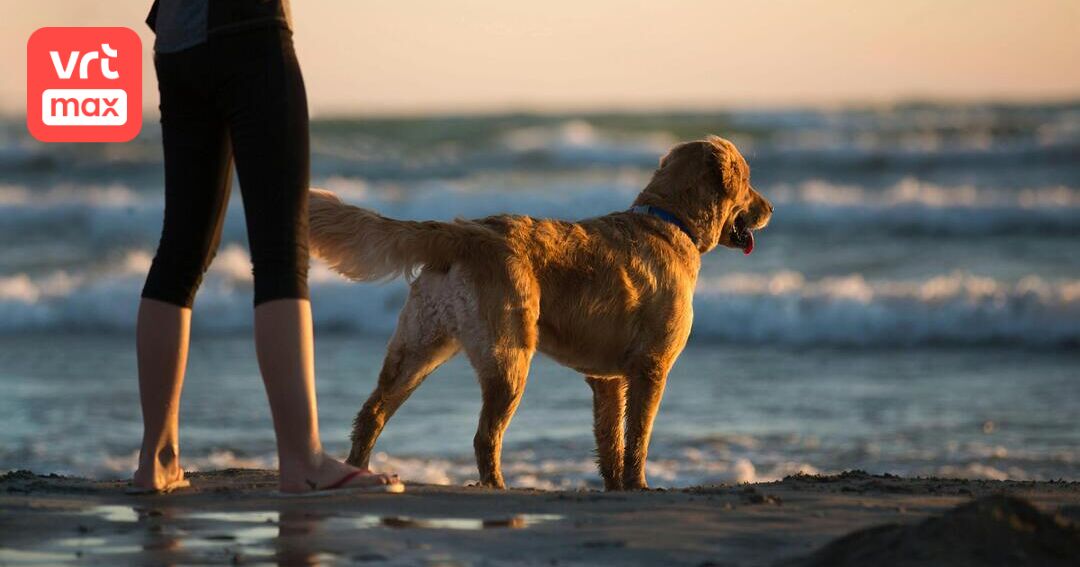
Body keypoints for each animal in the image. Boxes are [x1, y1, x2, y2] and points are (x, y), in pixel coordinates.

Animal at [308, 135, 773, 488]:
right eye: (749, 180)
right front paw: (639, 485)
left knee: (372, 413)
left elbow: (611, 440)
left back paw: (359, 472)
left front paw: (615, 487)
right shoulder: (652, 367)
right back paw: (496, 487)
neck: (669, 221)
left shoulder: (607, 380)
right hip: (509, 356)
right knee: (484, 436)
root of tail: (465, 232)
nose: (769, 209)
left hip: (418, 347)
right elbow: (638, 437)